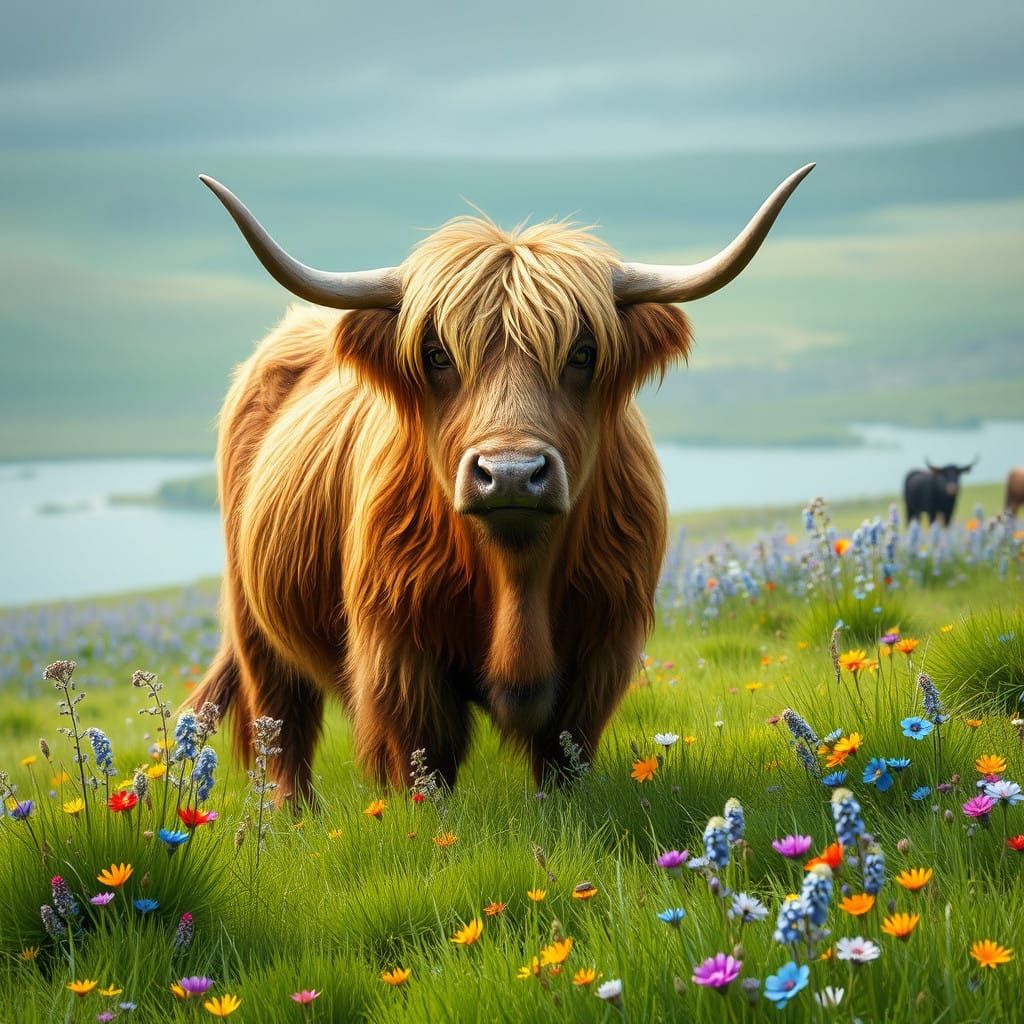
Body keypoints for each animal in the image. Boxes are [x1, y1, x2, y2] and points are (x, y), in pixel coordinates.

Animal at [190, 164, 814, 804]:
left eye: (582, 353)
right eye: (437, 354)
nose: (511, 474)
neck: (517, 576)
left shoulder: (603, 646)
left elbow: (564, 755)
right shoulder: (401, 652)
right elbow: (424, 763)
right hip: (255, 624)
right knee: (283, 732)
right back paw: (294, 813)